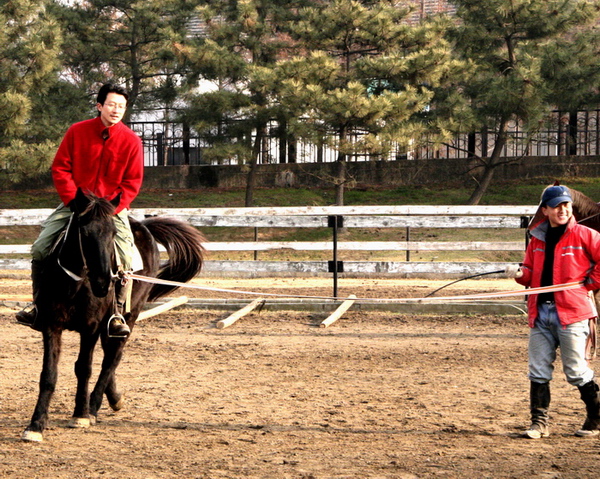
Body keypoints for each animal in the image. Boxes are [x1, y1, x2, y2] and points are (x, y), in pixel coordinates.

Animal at [21, 190, 206, 442]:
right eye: (84, 232)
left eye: (113, 233)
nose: (103, 283)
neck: (76, 283)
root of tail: (144, 226)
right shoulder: (52, 324)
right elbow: (48, 374)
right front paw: (36, 424)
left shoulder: (90, 328)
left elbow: (84, 368)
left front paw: (80, 415)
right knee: (109, 354)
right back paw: (113, 398)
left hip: (130, 316)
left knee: (112, 358)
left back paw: (94, 406)